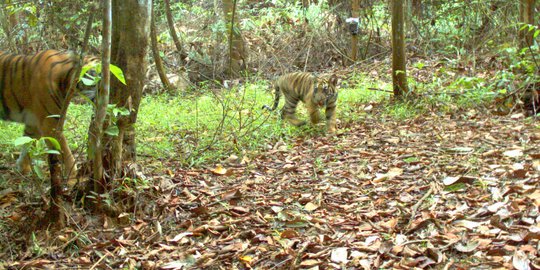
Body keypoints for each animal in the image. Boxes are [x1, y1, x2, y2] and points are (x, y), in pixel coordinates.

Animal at [0, 49, 95, 178]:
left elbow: (27, 143)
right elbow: (64, 150)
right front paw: (73, 176)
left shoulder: (33, 123)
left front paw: (22, 168)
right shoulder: (50, 124)